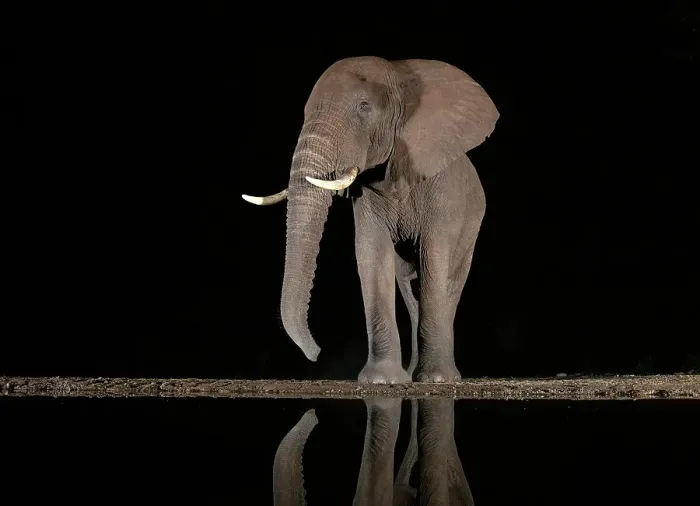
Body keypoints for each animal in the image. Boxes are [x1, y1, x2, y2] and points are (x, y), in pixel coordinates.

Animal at [243, 56, 499, 383]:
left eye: (364, 108)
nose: (317, 354)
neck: (400, 74)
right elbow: (371, 254)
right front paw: (383, 381)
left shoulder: (441, 191)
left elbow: (433, 258)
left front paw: (435, 381)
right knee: (409, 286)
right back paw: (411, 374)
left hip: (472, 223)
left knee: (447, 282)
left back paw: (443, 376)